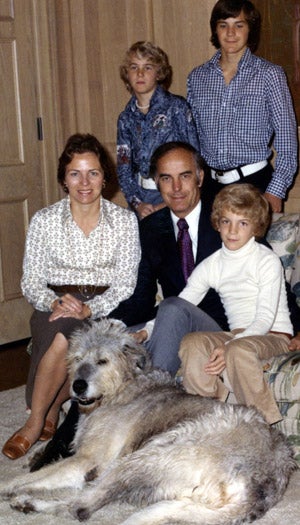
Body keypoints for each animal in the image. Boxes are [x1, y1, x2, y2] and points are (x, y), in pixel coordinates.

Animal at [0, 318, 296, 520]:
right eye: (76, 358)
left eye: (103, 361)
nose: (78, 386)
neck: (122, 388)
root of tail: (262, 485)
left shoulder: (87, 458)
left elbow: (25, 479)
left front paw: (11, 485)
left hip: (151, 455)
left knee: (81, 506)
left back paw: (31, 503)